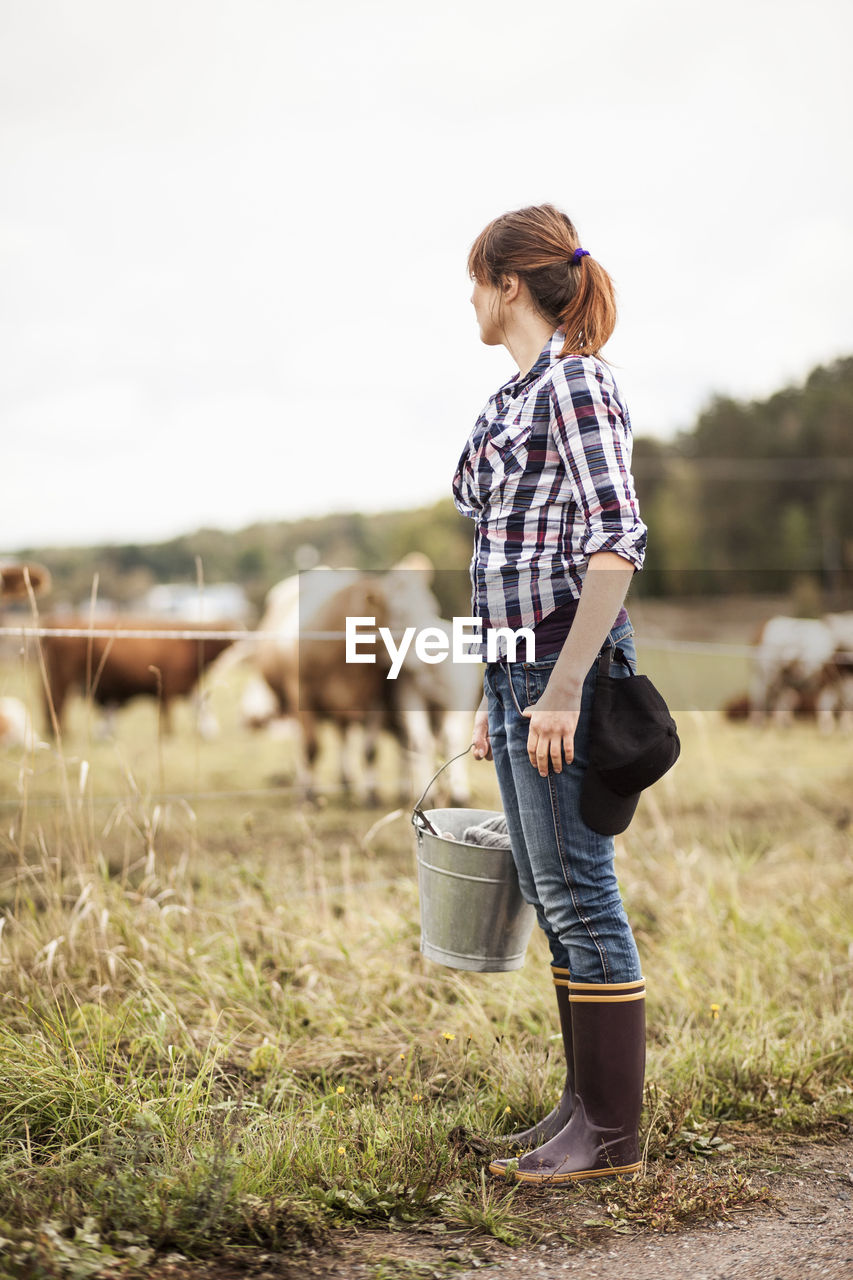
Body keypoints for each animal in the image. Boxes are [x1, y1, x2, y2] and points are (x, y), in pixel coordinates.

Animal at [38, 622, 234, 742]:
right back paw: (62, 734)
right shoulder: (167, 687)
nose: (214, 735)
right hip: (64, 677)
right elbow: (167, 715)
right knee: (57, 701)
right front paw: (168, 737)